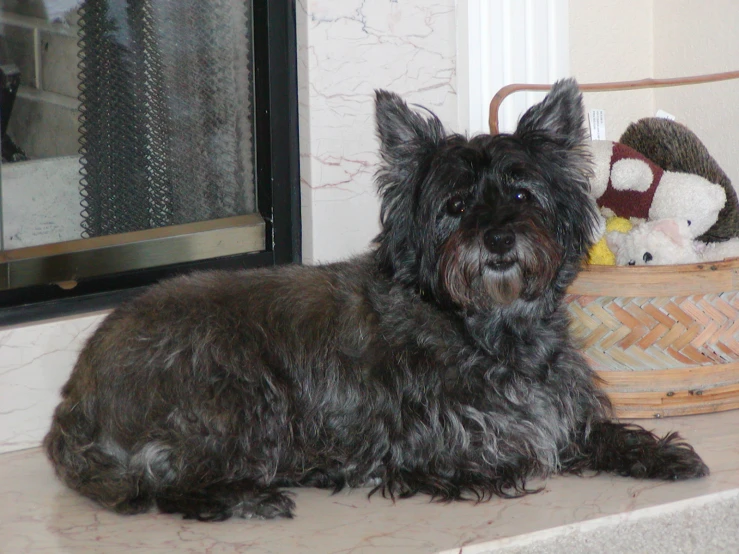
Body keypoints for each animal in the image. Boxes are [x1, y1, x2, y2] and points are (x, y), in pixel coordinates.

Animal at [43, 80, 708, 520]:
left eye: (522, 193)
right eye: (455, 205)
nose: (497, 239)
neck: (485, 327)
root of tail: (76, 394)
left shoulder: (566, 414)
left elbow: (604, 433)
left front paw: (664, 455)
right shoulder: (441, 446)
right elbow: (516, 454)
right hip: (243, 394)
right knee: (165, 486)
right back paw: (254, 494)